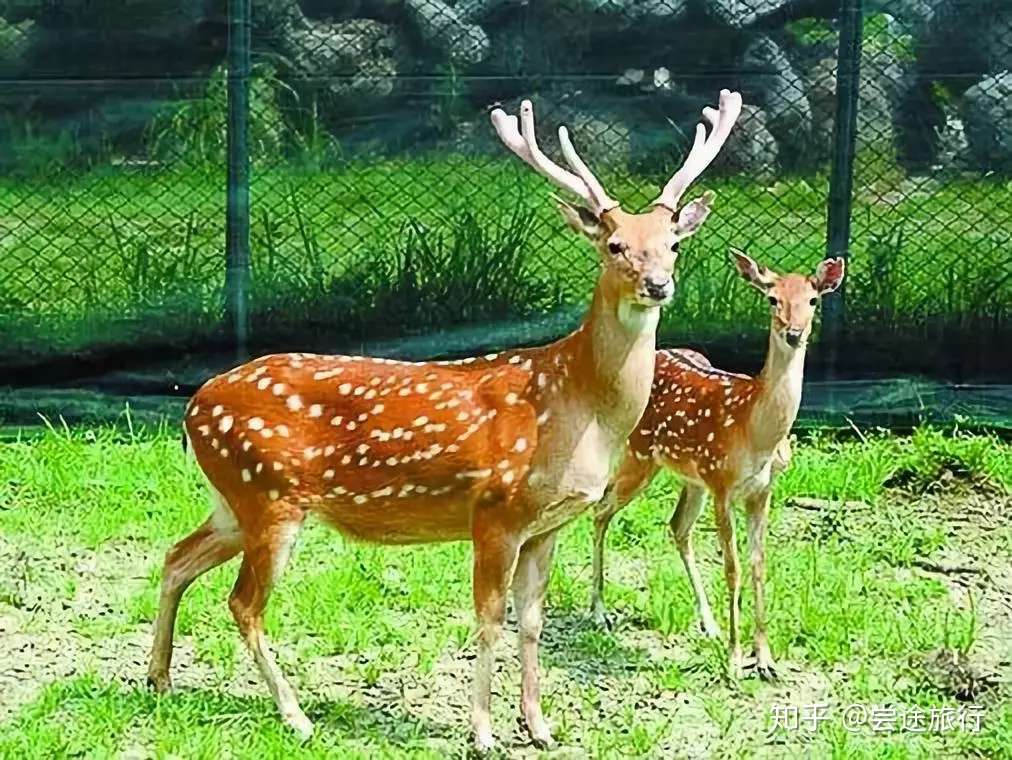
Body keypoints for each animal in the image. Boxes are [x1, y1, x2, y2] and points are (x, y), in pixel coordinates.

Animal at [591, 252, 841, 680]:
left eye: (813, 300)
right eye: (772, 299)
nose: (794, 333)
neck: (755, 431)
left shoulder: (762, 491)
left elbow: (758, 565)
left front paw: (765, 658)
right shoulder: (723, 484)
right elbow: (733, 567)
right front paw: (735, 660)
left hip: (692, 477)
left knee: (677, 526)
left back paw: (707, 622)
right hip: (641, 454)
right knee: (602, 508)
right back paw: (598, 611)